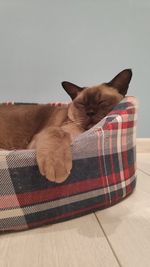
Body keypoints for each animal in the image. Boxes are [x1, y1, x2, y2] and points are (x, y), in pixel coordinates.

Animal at [0, 68, 132, 183]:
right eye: (82, 104)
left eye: (102, 102)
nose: (90, 112)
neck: (81, 132)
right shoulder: (40, 139)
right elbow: (57, 132)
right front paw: (57, 168)